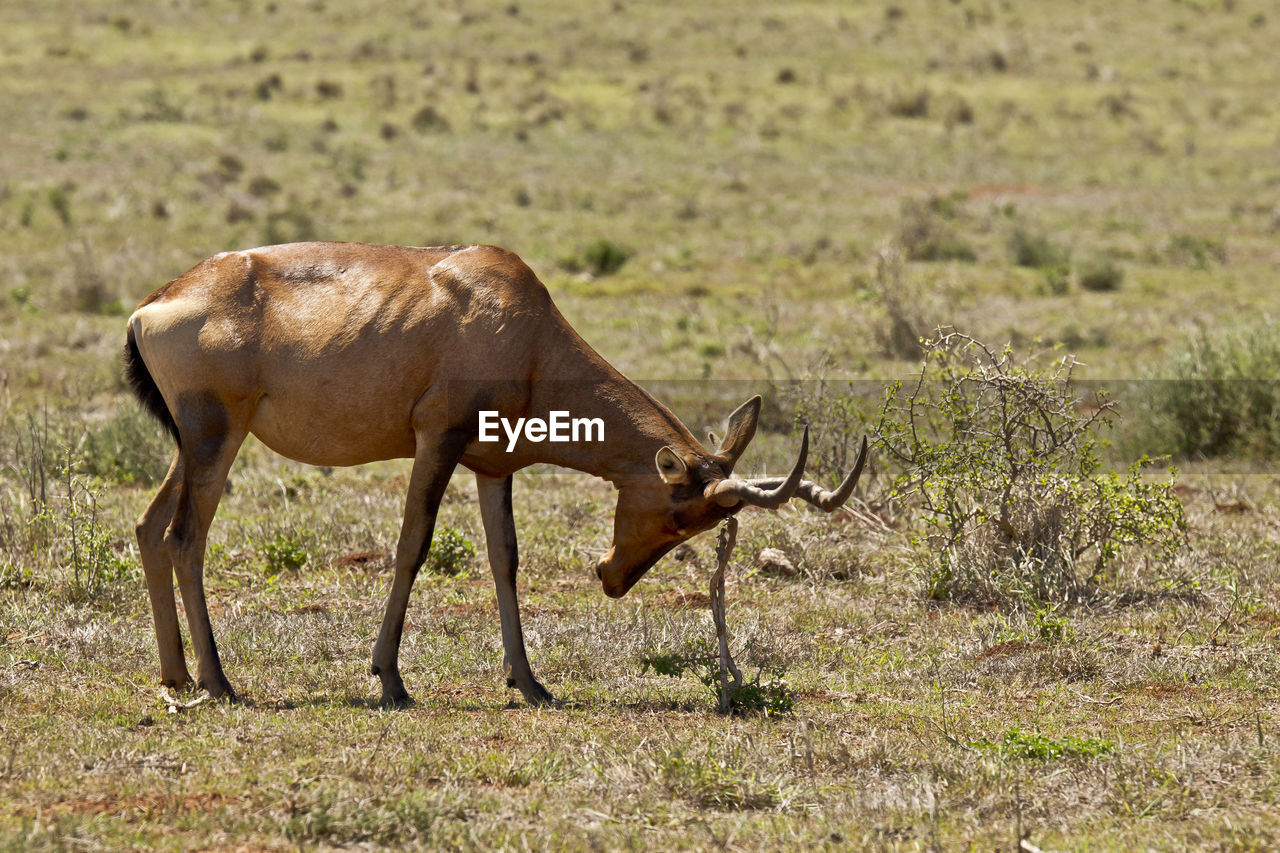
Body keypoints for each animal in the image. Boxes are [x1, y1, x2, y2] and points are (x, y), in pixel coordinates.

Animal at [124, 240, 870, 701]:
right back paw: (219, 681)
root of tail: (156, 301)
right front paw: (390, 679)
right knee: (185, 537)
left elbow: (504, 558)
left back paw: (177, 676)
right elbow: (412, 546)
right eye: (679, 510)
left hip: (191, 444)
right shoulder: (438, 439)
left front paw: (529, 682)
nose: (612, 578)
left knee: (148, 527)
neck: (517, 320)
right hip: (216, 435)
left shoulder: (492, 463)